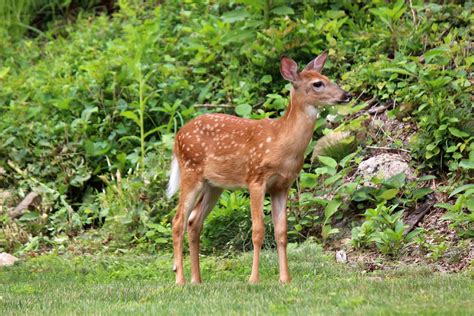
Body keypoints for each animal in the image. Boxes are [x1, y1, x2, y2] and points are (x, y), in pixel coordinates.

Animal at [167, 51, 352, 284]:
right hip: (191, 172)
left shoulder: (282, 185)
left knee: (194, 222)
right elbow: (258, 231)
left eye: (327, 77)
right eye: (317, 83)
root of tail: (177, 137)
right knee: (178, 221)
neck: (283, 143)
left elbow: (281, 232)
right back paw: (180, 280)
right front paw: (254, 279)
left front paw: (285, 279)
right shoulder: (256, 178)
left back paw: (197, 280)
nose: (346, 95)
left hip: (214, 185)